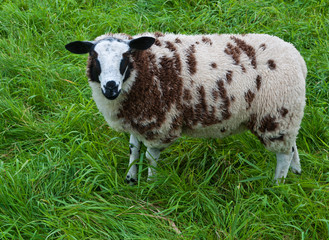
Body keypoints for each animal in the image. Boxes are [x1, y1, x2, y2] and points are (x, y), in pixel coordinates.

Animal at [65, 32, 306, 184]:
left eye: (126, 56)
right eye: (94, 56)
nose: (110, 87)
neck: (144, 69)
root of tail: (297, 58)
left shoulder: (159, 124)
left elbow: (151, 157)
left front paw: (150, 184)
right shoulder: (138, 118)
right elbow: (133, 149)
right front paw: (130, 178)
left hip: (276, 114)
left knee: (283, 155)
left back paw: (277, 184)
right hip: (287, 116)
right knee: (292, 145)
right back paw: (296, 171)